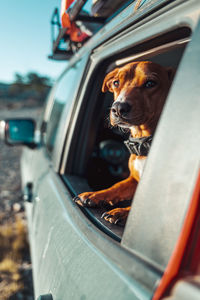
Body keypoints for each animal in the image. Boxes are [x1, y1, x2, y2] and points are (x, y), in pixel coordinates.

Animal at [74, 61, 173, 225]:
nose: (118, 108)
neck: (143, 140)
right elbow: (117, 186)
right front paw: (95, 195)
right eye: (116, 83)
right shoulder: (134, 180)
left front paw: (121, 212)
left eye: (150, 83)